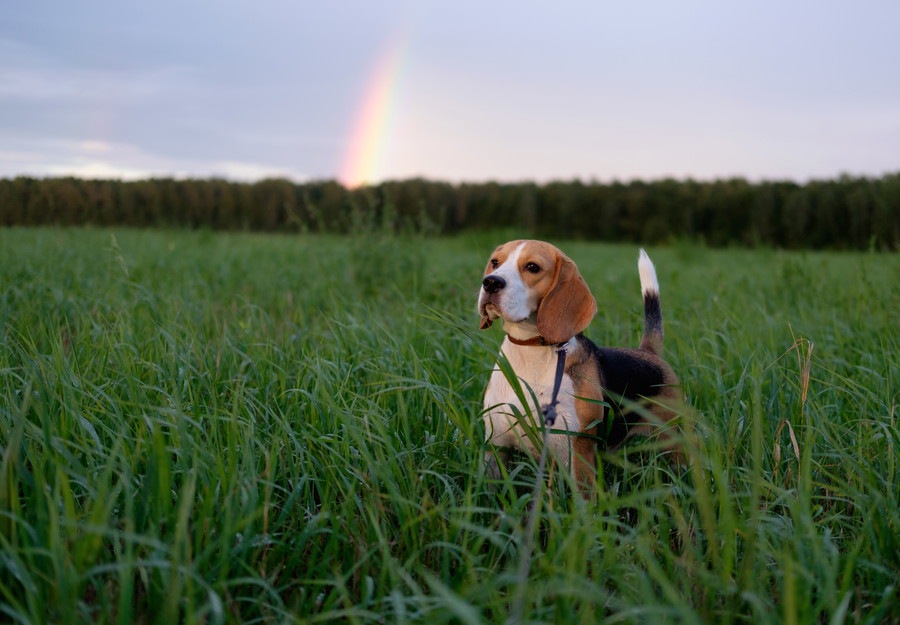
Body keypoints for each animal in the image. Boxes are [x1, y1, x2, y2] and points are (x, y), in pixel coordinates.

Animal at [478, 241, 684, 490]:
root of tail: (648, 352)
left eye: (532, 267)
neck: (531, 351)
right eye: (495, 262)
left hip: (674, 443)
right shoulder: (495, 445)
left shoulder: (578, 453)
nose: (490, 282)